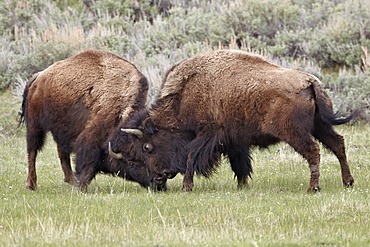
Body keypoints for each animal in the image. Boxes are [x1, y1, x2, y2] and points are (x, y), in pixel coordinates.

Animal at [18, 48, 166, 191]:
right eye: (132, 162)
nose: (159, 181)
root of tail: (38, 77)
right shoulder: (92, 135)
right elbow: (87, 161)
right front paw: (82, 187)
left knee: (62, 152)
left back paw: (71, 180)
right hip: (35, 125)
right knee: (32, 151)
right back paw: (31, 185)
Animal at [108, 49, 356, 193]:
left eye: (147, 147)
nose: (160, 176)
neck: (184, 96)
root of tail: (310, 82)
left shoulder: (207, 134)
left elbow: (191, 156)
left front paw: (187, 186)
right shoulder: (234, 140)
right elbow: (240, 164)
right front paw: (242, 186)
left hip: (295, 133)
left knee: (314, 151)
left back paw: (313, 188)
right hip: (320, 126)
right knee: (338, 144)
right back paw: (348, 182)